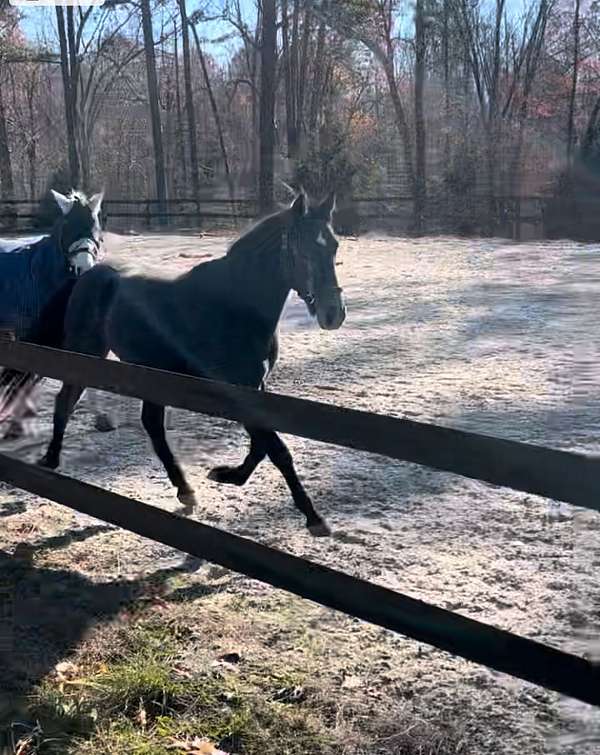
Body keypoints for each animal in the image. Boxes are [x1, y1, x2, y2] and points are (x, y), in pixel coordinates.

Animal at [10, 190, 345, 535]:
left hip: (148, 372)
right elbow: (276, 449)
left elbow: (261, 446)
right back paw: (51, 460)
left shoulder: (256, 387)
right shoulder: (240, 389)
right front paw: (314, 518)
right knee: (66, 401)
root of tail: (88, 275)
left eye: (334, 246)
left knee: (151, 424)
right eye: (302, 250)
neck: (236, 306)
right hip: (86, 355)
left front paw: (228, 476)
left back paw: (184, 489)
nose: (333, 314)